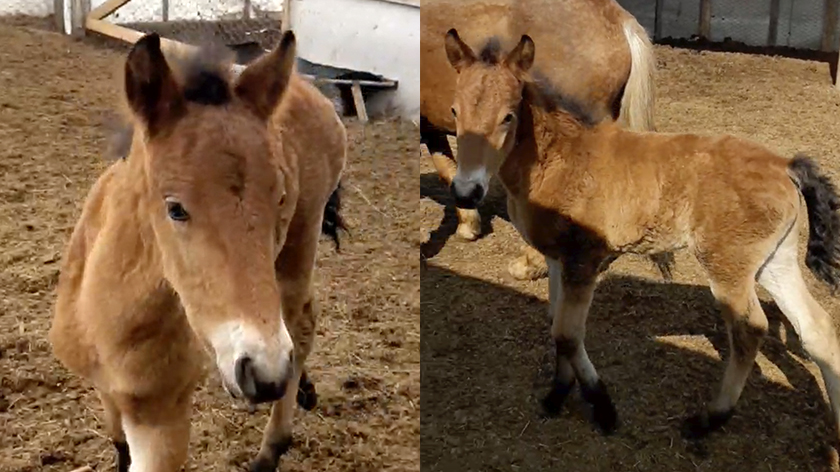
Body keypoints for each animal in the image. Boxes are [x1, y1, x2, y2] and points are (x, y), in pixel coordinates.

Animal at [49, 31, 346, 470]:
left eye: (279, 198)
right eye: (175, 208)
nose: (265, 371)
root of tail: (309, 88)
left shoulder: (161, 419)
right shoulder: (107, 390)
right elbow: (118, 441)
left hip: (298, 249)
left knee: (299, 324)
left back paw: (272, 444)